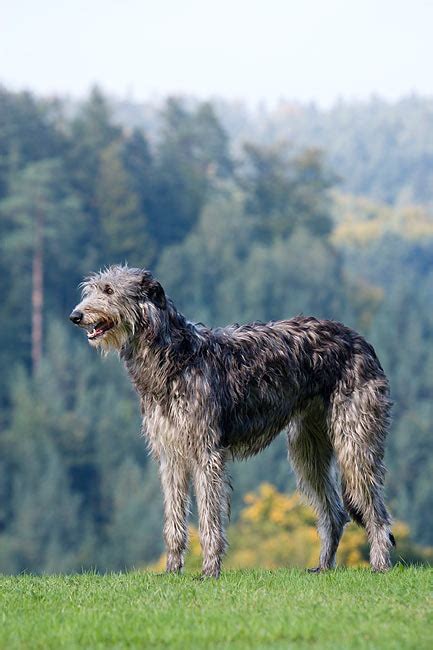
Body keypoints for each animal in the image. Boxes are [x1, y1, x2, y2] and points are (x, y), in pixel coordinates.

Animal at [69, 266, 394, 576]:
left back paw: (379, 563)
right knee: (335, 513)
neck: (175, 357)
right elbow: (174, 520)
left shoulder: (207, 453)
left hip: (354, 440)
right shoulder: (171, 454)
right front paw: (172, 570)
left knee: (376, 511)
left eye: (109, 290)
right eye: (92, 289)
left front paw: (210, 570)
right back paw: (323, 565)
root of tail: (361, 340)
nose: (75, 316)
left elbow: (210, 519)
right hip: (307, 448)